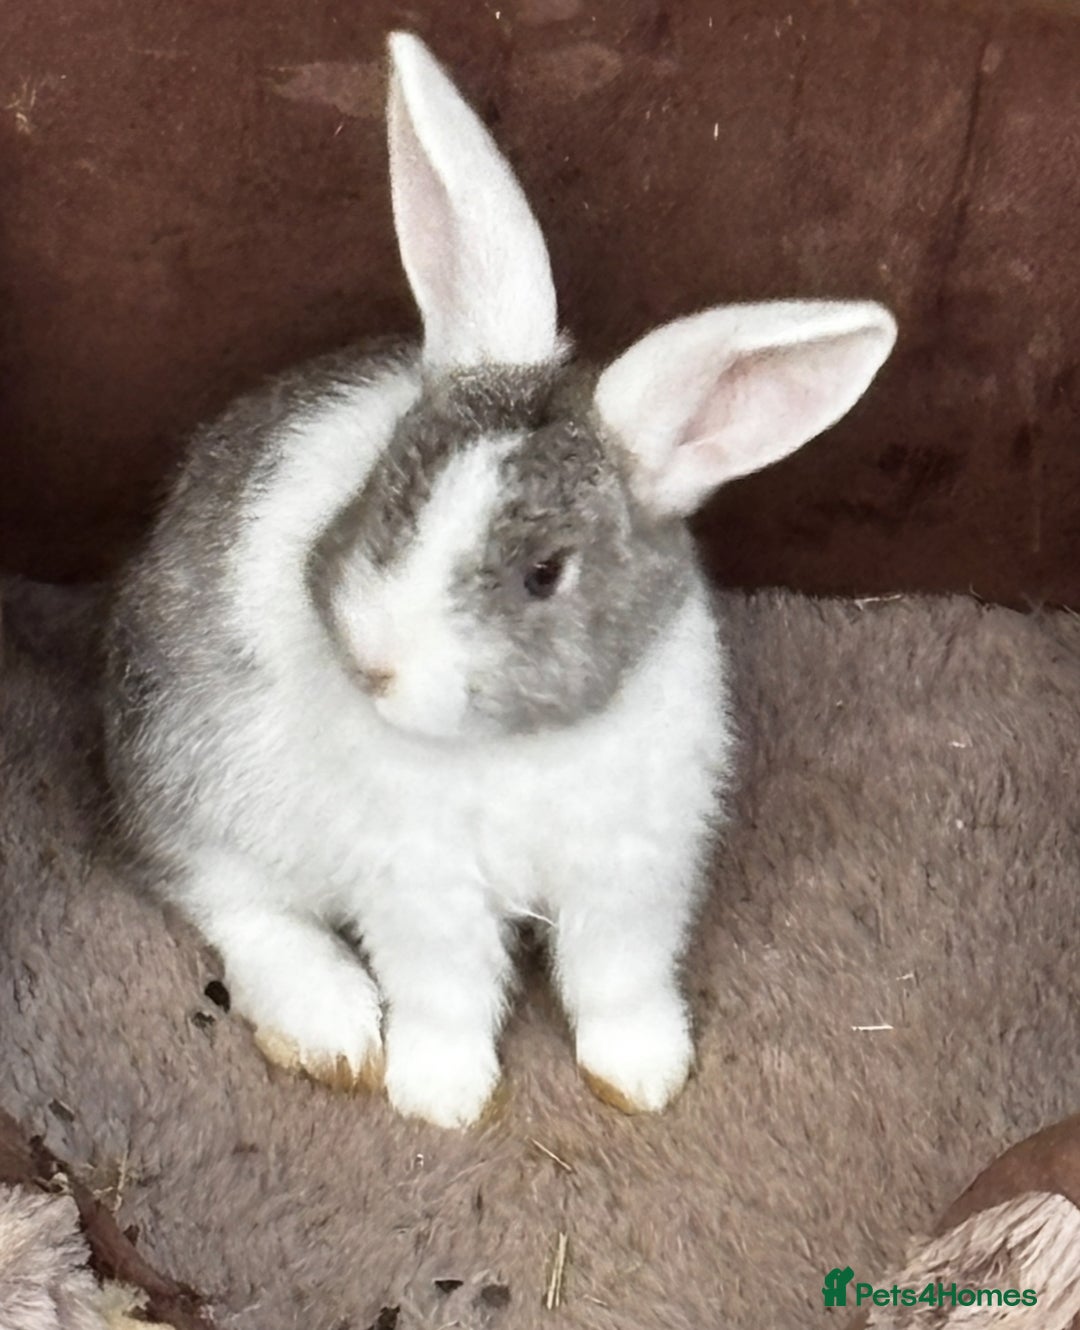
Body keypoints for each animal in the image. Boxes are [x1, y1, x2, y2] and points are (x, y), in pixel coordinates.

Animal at [102, 30, 897, 1129]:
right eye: (389, 489)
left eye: (544, 573)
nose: (375, 664)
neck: (520, 748)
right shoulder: (421, 885)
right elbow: (445, 990)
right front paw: (440, 1099)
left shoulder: (634, 870)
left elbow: (617, 976)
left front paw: (642, 1077)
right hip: (205, 769)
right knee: (226, 892)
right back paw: (332, 1026)